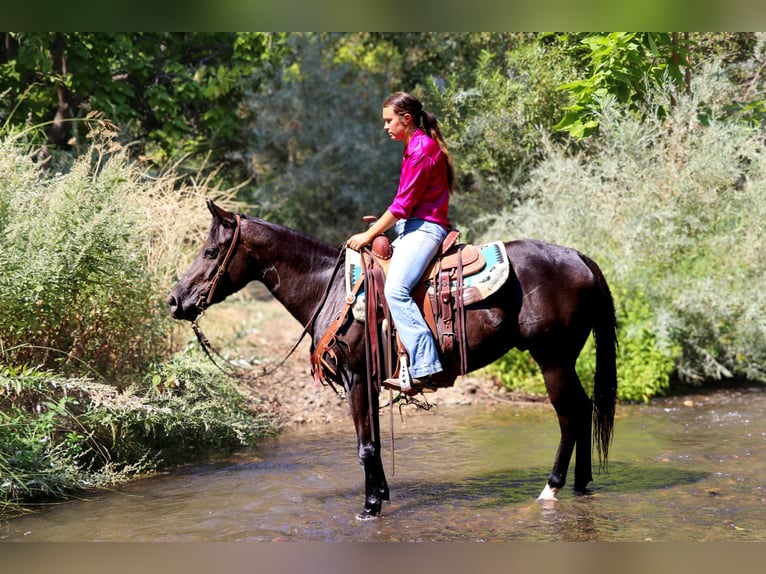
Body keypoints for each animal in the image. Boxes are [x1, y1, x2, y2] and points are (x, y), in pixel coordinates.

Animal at [167, 199, 618, 519]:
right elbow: (376, 442)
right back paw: (581, 484)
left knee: (570, 415)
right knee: (583, 409)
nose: (174, 300)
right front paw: (381, 494)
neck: (329, 289)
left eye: (211, 251)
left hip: (552, 358)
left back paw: (552, 488)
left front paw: (369, 508)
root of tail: (579, 258)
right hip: (564, 359)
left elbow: (365, 445)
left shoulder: (356, 378)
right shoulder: (366, 382)